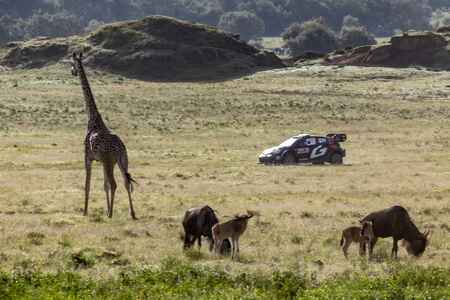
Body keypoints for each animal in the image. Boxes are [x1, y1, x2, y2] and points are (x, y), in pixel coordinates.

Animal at [70, 52, 136, 219]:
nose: (72, 72)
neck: (92, 118)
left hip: (109, 161)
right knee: (126, 183)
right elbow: (104, 185)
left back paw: (111, 214)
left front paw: (85, 211)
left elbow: (88, 184)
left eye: (71, 63)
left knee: (114, 184)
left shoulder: (88, 157)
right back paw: (132, 213)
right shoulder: (100, 161)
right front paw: (105, 208)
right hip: (122, 160)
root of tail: (119, 148)